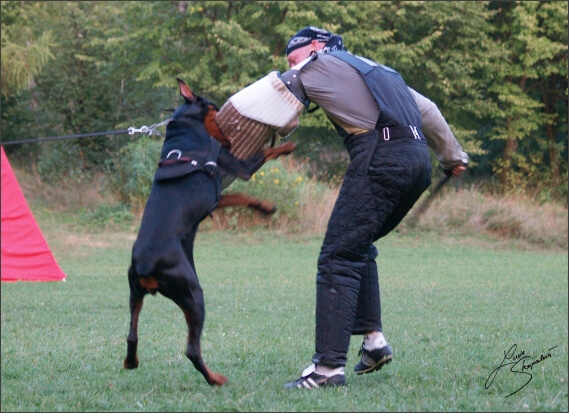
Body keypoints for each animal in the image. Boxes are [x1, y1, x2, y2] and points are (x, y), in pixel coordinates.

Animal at [122, 78, 296, 386]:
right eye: (215, 107)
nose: (230, 134)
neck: (185, 131)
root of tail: (145, 266)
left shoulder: (217, 195)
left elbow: (240, 197)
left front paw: (264, 206)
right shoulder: (238, 166)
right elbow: (264, 154)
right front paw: (287, 147)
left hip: (135, 292)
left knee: (132, 335)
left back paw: (131, 361)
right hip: (193, 294)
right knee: (192, 350)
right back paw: (215, 379)